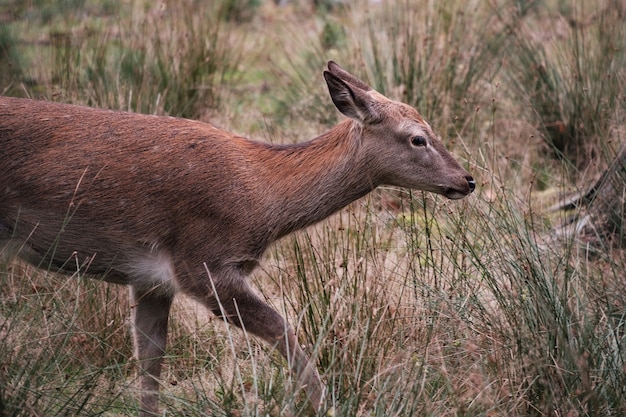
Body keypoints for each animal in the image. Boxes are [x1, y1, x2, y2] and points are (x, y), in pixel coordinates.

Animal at [0, 61, 472, 412]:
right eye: (418, 138)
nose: (467, 180)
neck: (264, 197)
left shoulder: (151, 280)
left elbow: (151, 360)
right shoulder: (202, 264)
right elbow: (283, 328)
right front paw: (326, 405)